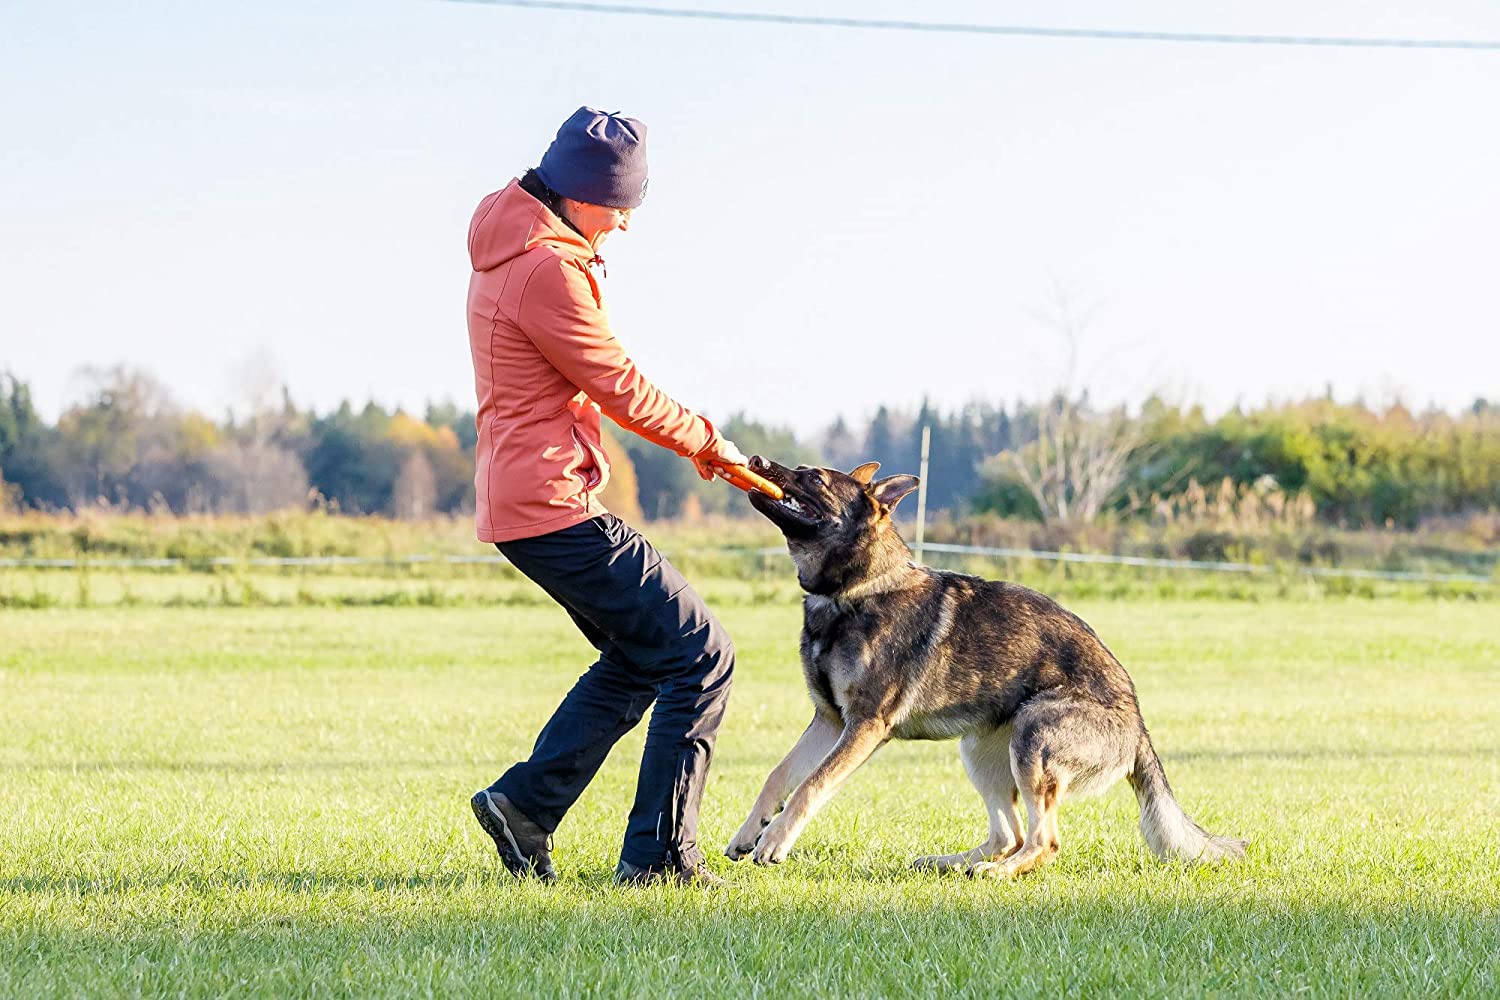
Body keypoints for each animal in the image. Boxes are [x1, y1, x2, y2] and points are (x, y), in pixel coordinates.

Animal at [720, 455, 1248, 875]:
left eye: (812, 477)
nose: (756, 460)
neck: (853, 589)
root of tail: (1137, 727)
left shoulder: (863, 728)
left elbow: (810, 786)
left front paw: (774, 840)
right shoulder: (829, 722)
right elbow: (778, 775)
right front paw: (749, 831)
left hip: (1033, 738)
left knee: (1042, 840)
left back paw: (994, 873)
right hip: (979, 751)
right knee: (1008, 835)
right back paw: (949, 863)